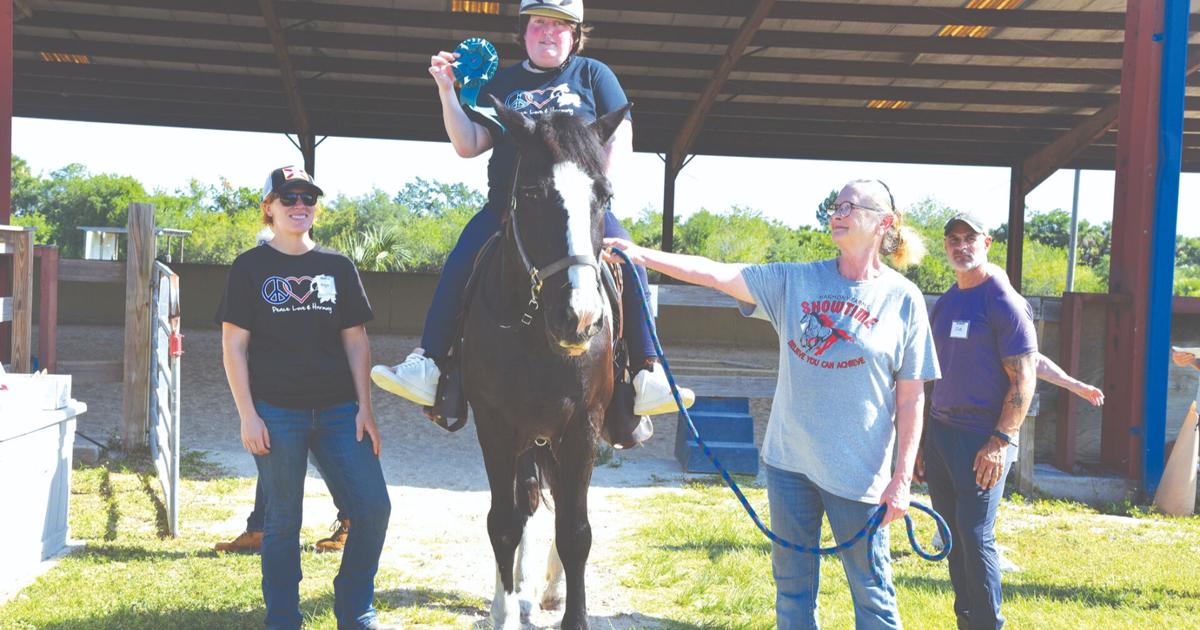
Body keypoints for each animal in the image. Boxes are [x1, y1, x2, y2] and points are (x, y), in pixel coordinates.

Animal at [458, 99, 633, 628]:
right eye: (532, 192)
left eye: (605, 195)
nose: (580, 316)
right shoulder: (495, 426)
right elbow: (504, 522)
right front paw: (506, 609)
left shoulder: (582, 426)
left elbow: (575, 530)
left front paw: (572, 612)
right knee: (528, 504)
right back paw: (517, 593)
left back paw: (548, 587)